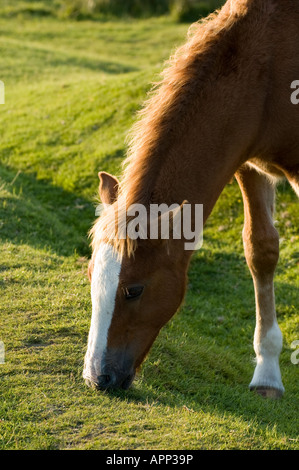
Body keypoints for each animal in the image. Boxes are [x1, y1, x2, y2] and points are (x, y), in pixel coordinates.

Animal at [82, 0, 299, 398]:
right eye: (91, 275)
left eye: (134, 290)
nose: (97, 377)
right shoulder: (247, 163)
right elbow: (260, 250)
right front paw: (267, 374)